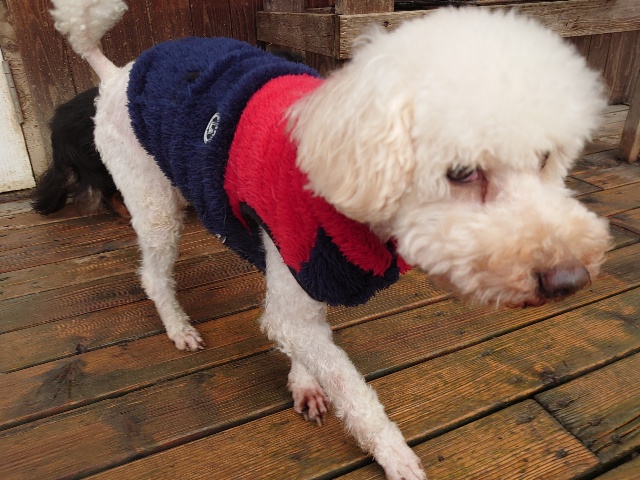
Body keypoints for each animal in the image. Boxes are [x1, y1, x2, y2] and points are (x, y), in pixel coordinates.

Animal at [49, 1, 610, 478]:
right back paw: (178, 328)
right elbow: (352, 393)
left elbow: (299, 337)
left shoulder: (295, 269)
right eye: (460, 173)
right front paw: (395, 456)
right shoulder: (298, 266)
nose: (571, 279)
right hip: (150, 199)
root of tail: (114, 73)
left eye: (545, 159)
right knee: (153, 272)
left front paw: (303, 382)